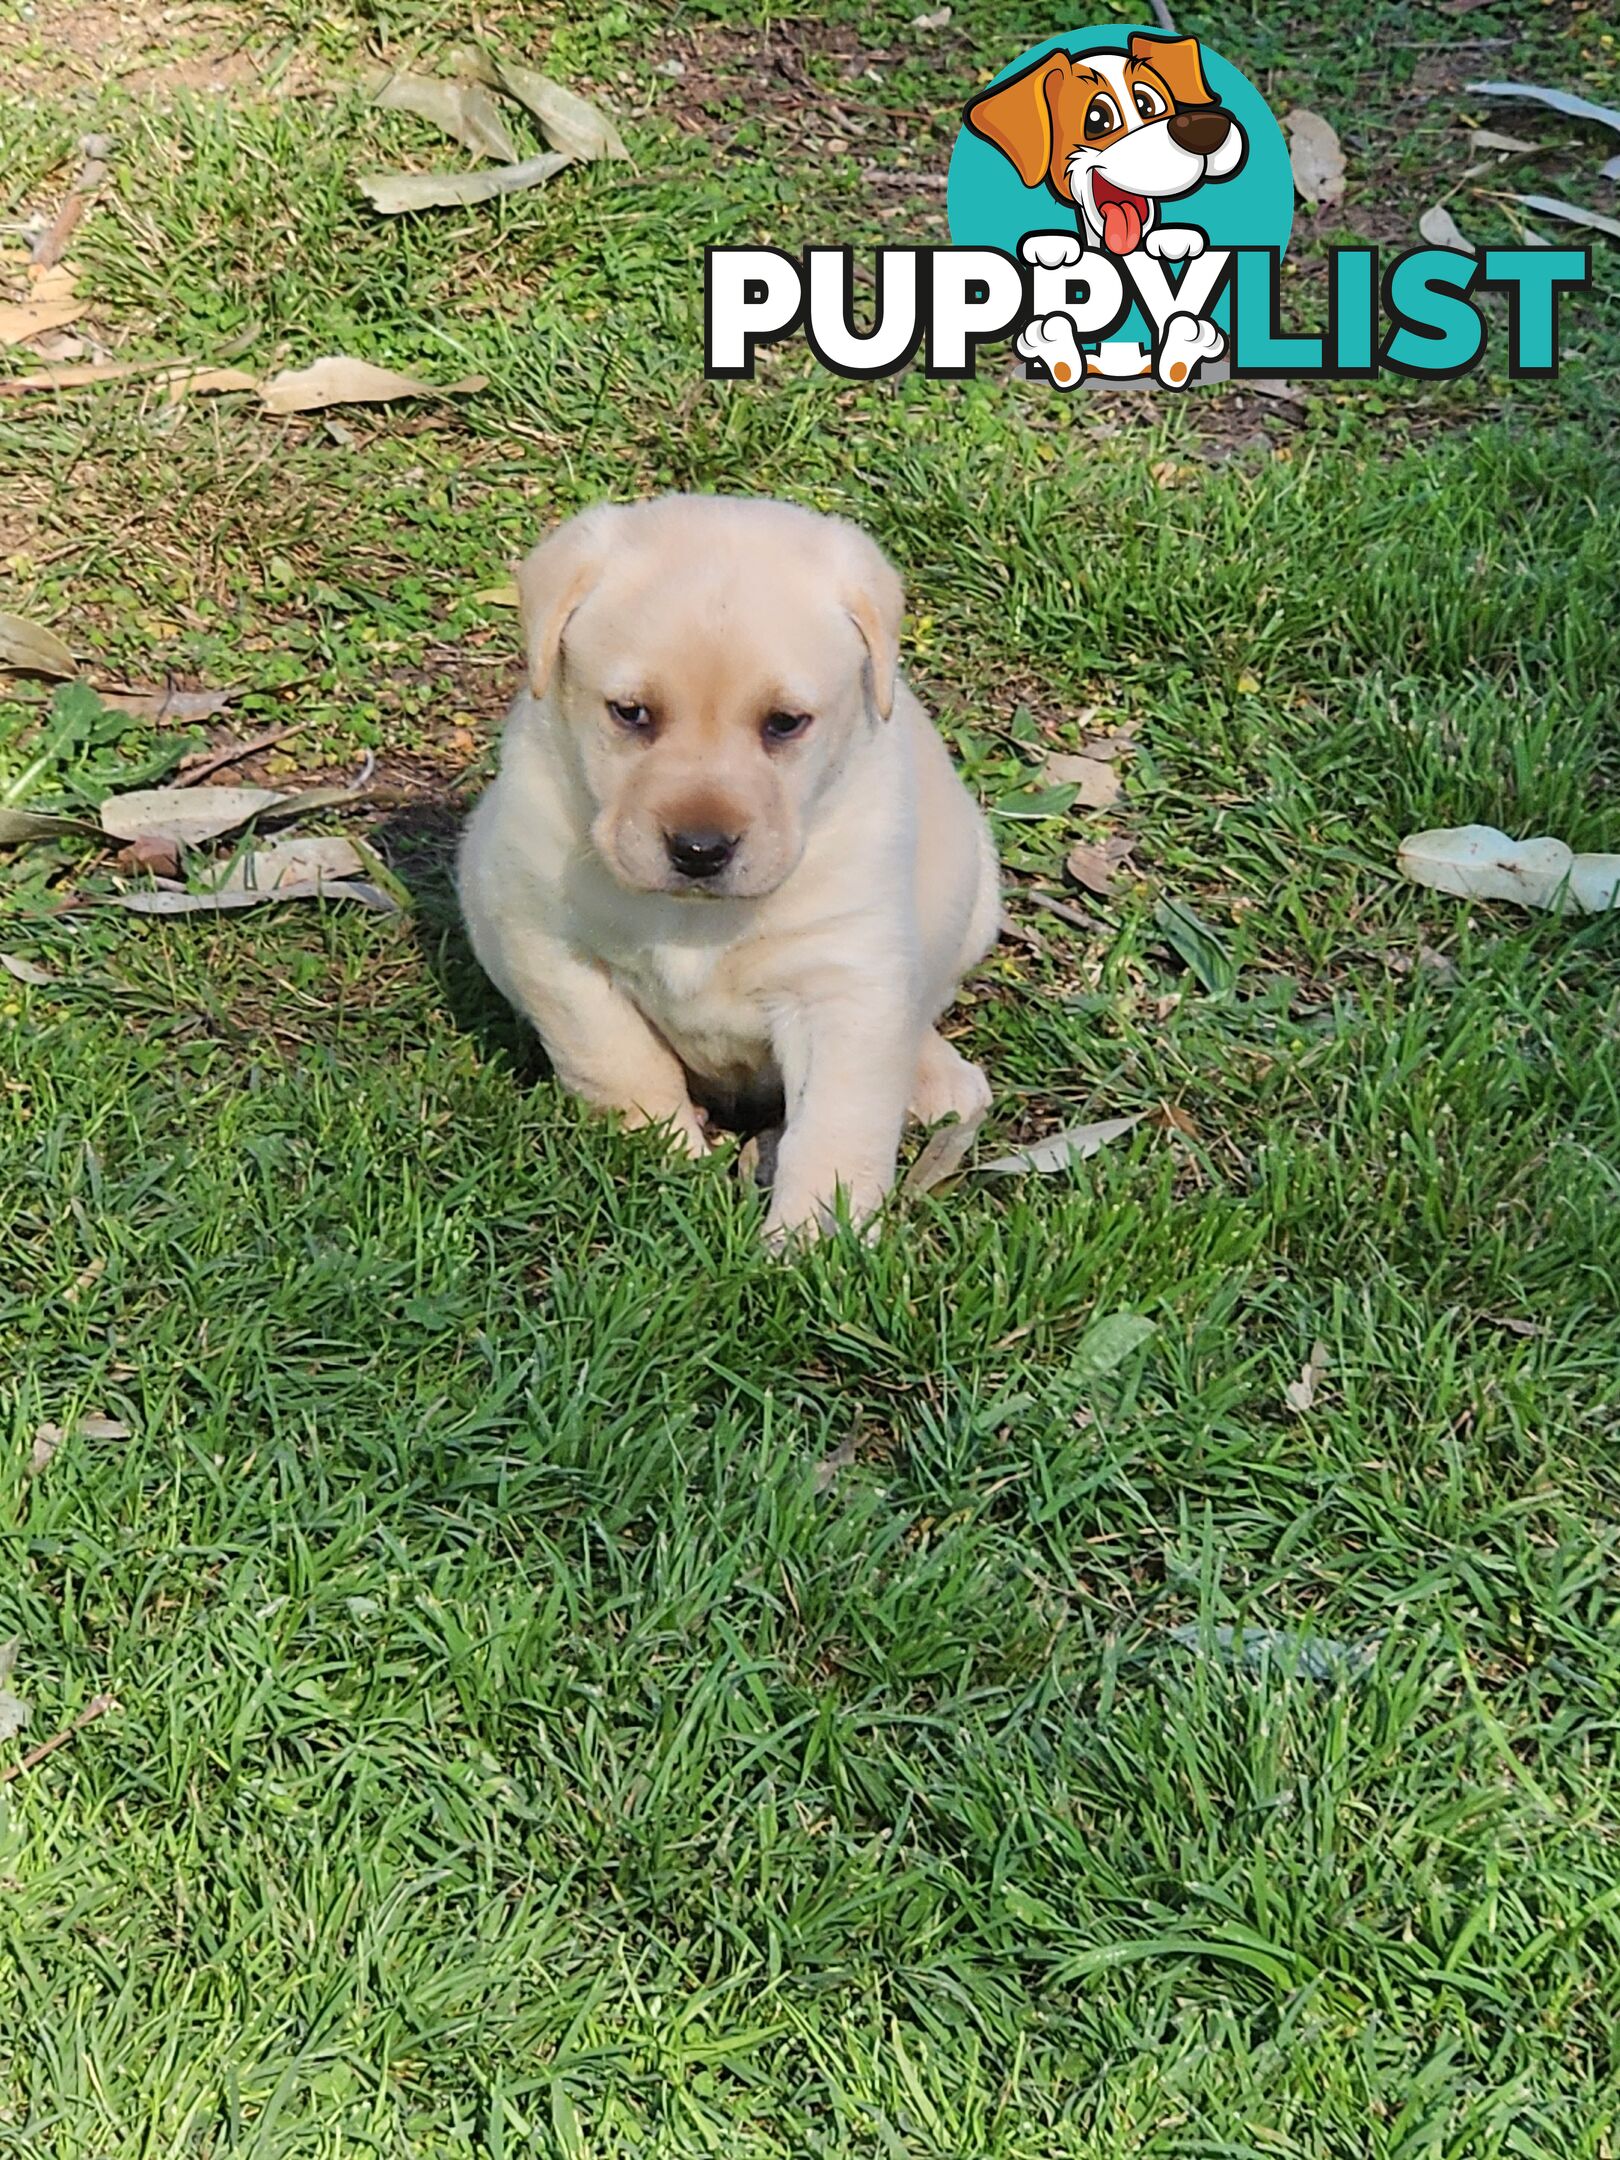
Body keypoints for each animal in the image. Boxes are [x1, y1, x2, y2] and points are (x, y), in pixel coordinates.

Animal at [460, 494, 1002, 1244]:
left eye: (784, 723)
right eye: (631, 713)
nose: (699, 849)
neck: (696, 918)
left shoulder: (844, 986)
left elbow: (838, 1125)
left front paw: (816, 1240)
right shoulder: (550, 943)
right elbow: (618, 1061)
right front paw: (660, 1154)